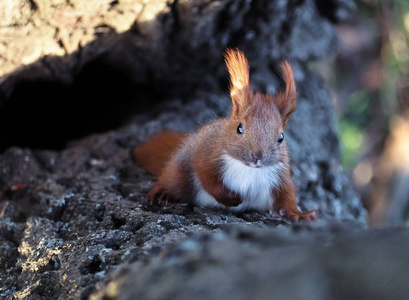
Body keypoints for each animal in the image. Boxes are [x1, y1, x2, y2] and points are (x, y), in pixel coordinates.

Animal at [134, 49, 316, 223]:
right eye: (239, 128)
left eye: (281, 137)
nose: (257, 156)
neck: (248, 168)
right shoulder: (207, 155)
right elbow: (206, 177)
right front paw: (231, 199)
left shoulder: (279, 176)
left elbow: (286, 198)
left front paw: (301, 215)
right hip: (179, 172)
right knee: (171, 179)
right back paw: (163, 193)